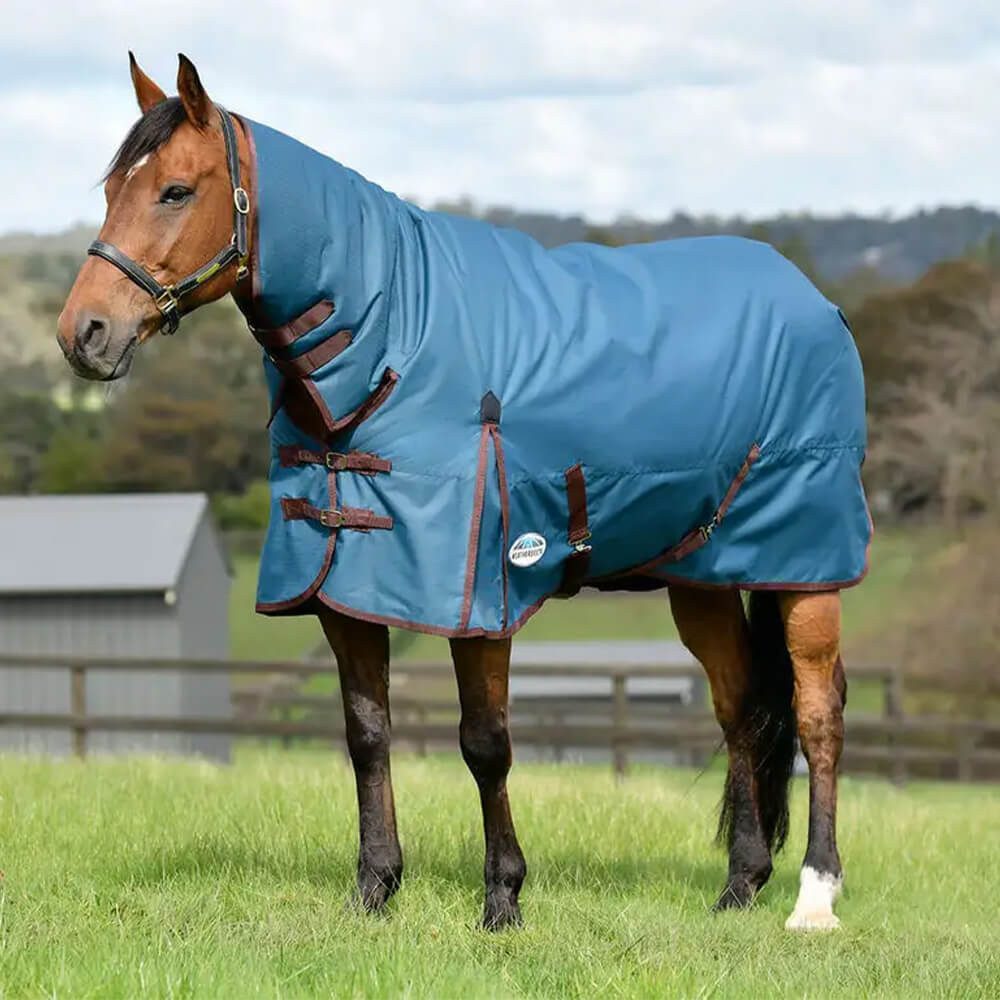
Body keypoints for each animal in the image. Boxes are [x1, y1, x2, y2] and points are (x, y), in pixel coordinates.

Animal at [57, 54, 868, 932]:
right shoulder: (346, 584)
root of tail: (814, 299)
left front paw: (502, 899)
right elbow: (366, 734)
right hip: (703, 576)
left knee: (818, 713)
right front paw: (374, 890)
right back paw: (740, 885)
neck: (390, 343)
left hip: (807, 568)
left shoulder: (479, 590)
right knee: (740, 709)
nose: (83, 335)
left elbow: (485, 742)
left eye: (174, 190)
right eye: (113, 188)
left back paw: (814, 896)